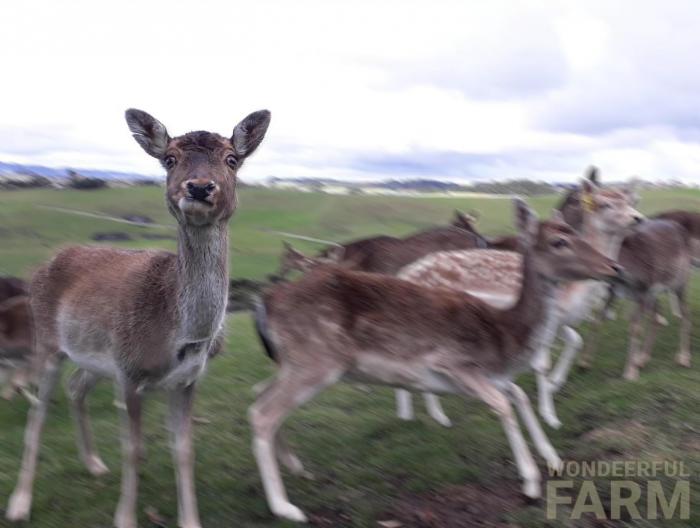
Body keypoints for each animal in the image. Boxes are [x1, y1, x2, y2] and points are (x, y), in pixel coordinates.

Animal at [5, 108, 271, 528]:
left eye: (232, 158)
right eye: (169, 159)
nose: (199, 188)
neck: (179, 336)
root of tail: (47, 263)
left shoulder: (186, 380)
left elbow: (184, 449)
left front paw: (190, 520)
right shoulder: (130, 372)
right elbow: (132, 449)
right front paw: (125, 517)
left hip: (96, 358)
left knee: (76, 387)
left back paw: (94, 463)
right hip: (47, 342)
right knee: (39, 411)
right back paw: (19, 503)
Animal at [249, 199, 622, 522]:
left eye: (575, 231)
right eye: (560, 241)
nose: (613, 266)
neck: (505, 337)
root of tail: (266, 302)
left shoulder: (491, 373)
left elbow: (519, 396)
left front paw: (554, 459)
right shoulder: (453, 363)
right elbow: (503, 404)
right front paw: (530, 483)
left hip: (291, 362)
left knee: (258, 393)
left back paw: (297, 467)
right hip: (316, 362)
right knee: (263, 412)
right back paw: (285, 507)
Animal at [394, 174, 643, 429]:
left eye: (631, 200)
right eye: (606, 204)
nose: (637, 218)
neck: (570, 295)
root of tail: (405, 273)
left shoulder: (556, 321)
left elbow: (575, 340)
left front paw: (555, 384)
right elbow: (542, 363)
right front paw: (549, 416)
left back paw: (417, 413)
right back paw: (430, 416)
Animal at [579, 218, 692, 380]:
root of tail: (678, 226)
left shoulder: (642, 291)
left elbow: (636, 328)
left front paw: (630, 373)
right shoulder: (612, 291)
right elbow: (596, 322)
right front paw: (584, 364)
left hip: (679, 281)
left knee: (685, 313)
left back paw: (683, 359)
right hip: (654, 291)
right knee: (657, 317)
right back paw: (642, 359)